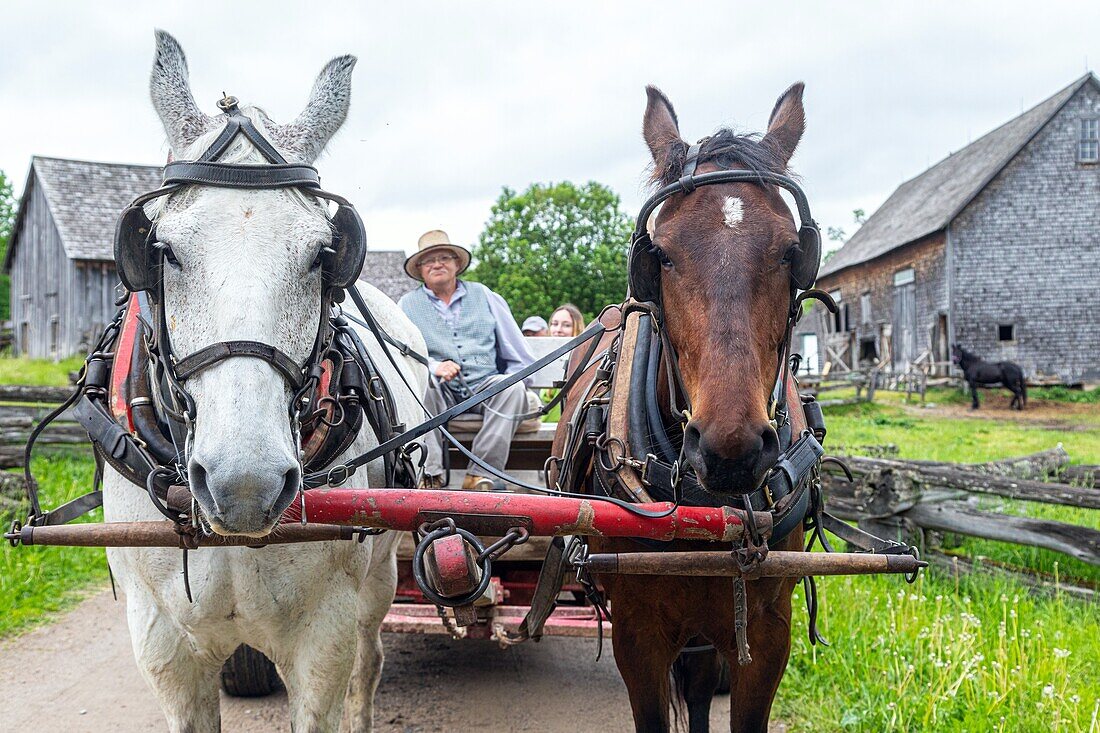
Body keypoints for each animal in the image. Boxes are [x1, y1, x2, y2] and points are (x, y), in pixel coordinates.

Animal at [103, 31, 426, 726]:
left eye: (325, 252)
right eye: (161, 249)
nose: (244, 484)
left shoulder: (323, 637)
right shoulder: (164, 644)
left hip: (380, 576)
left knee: (370, 662)